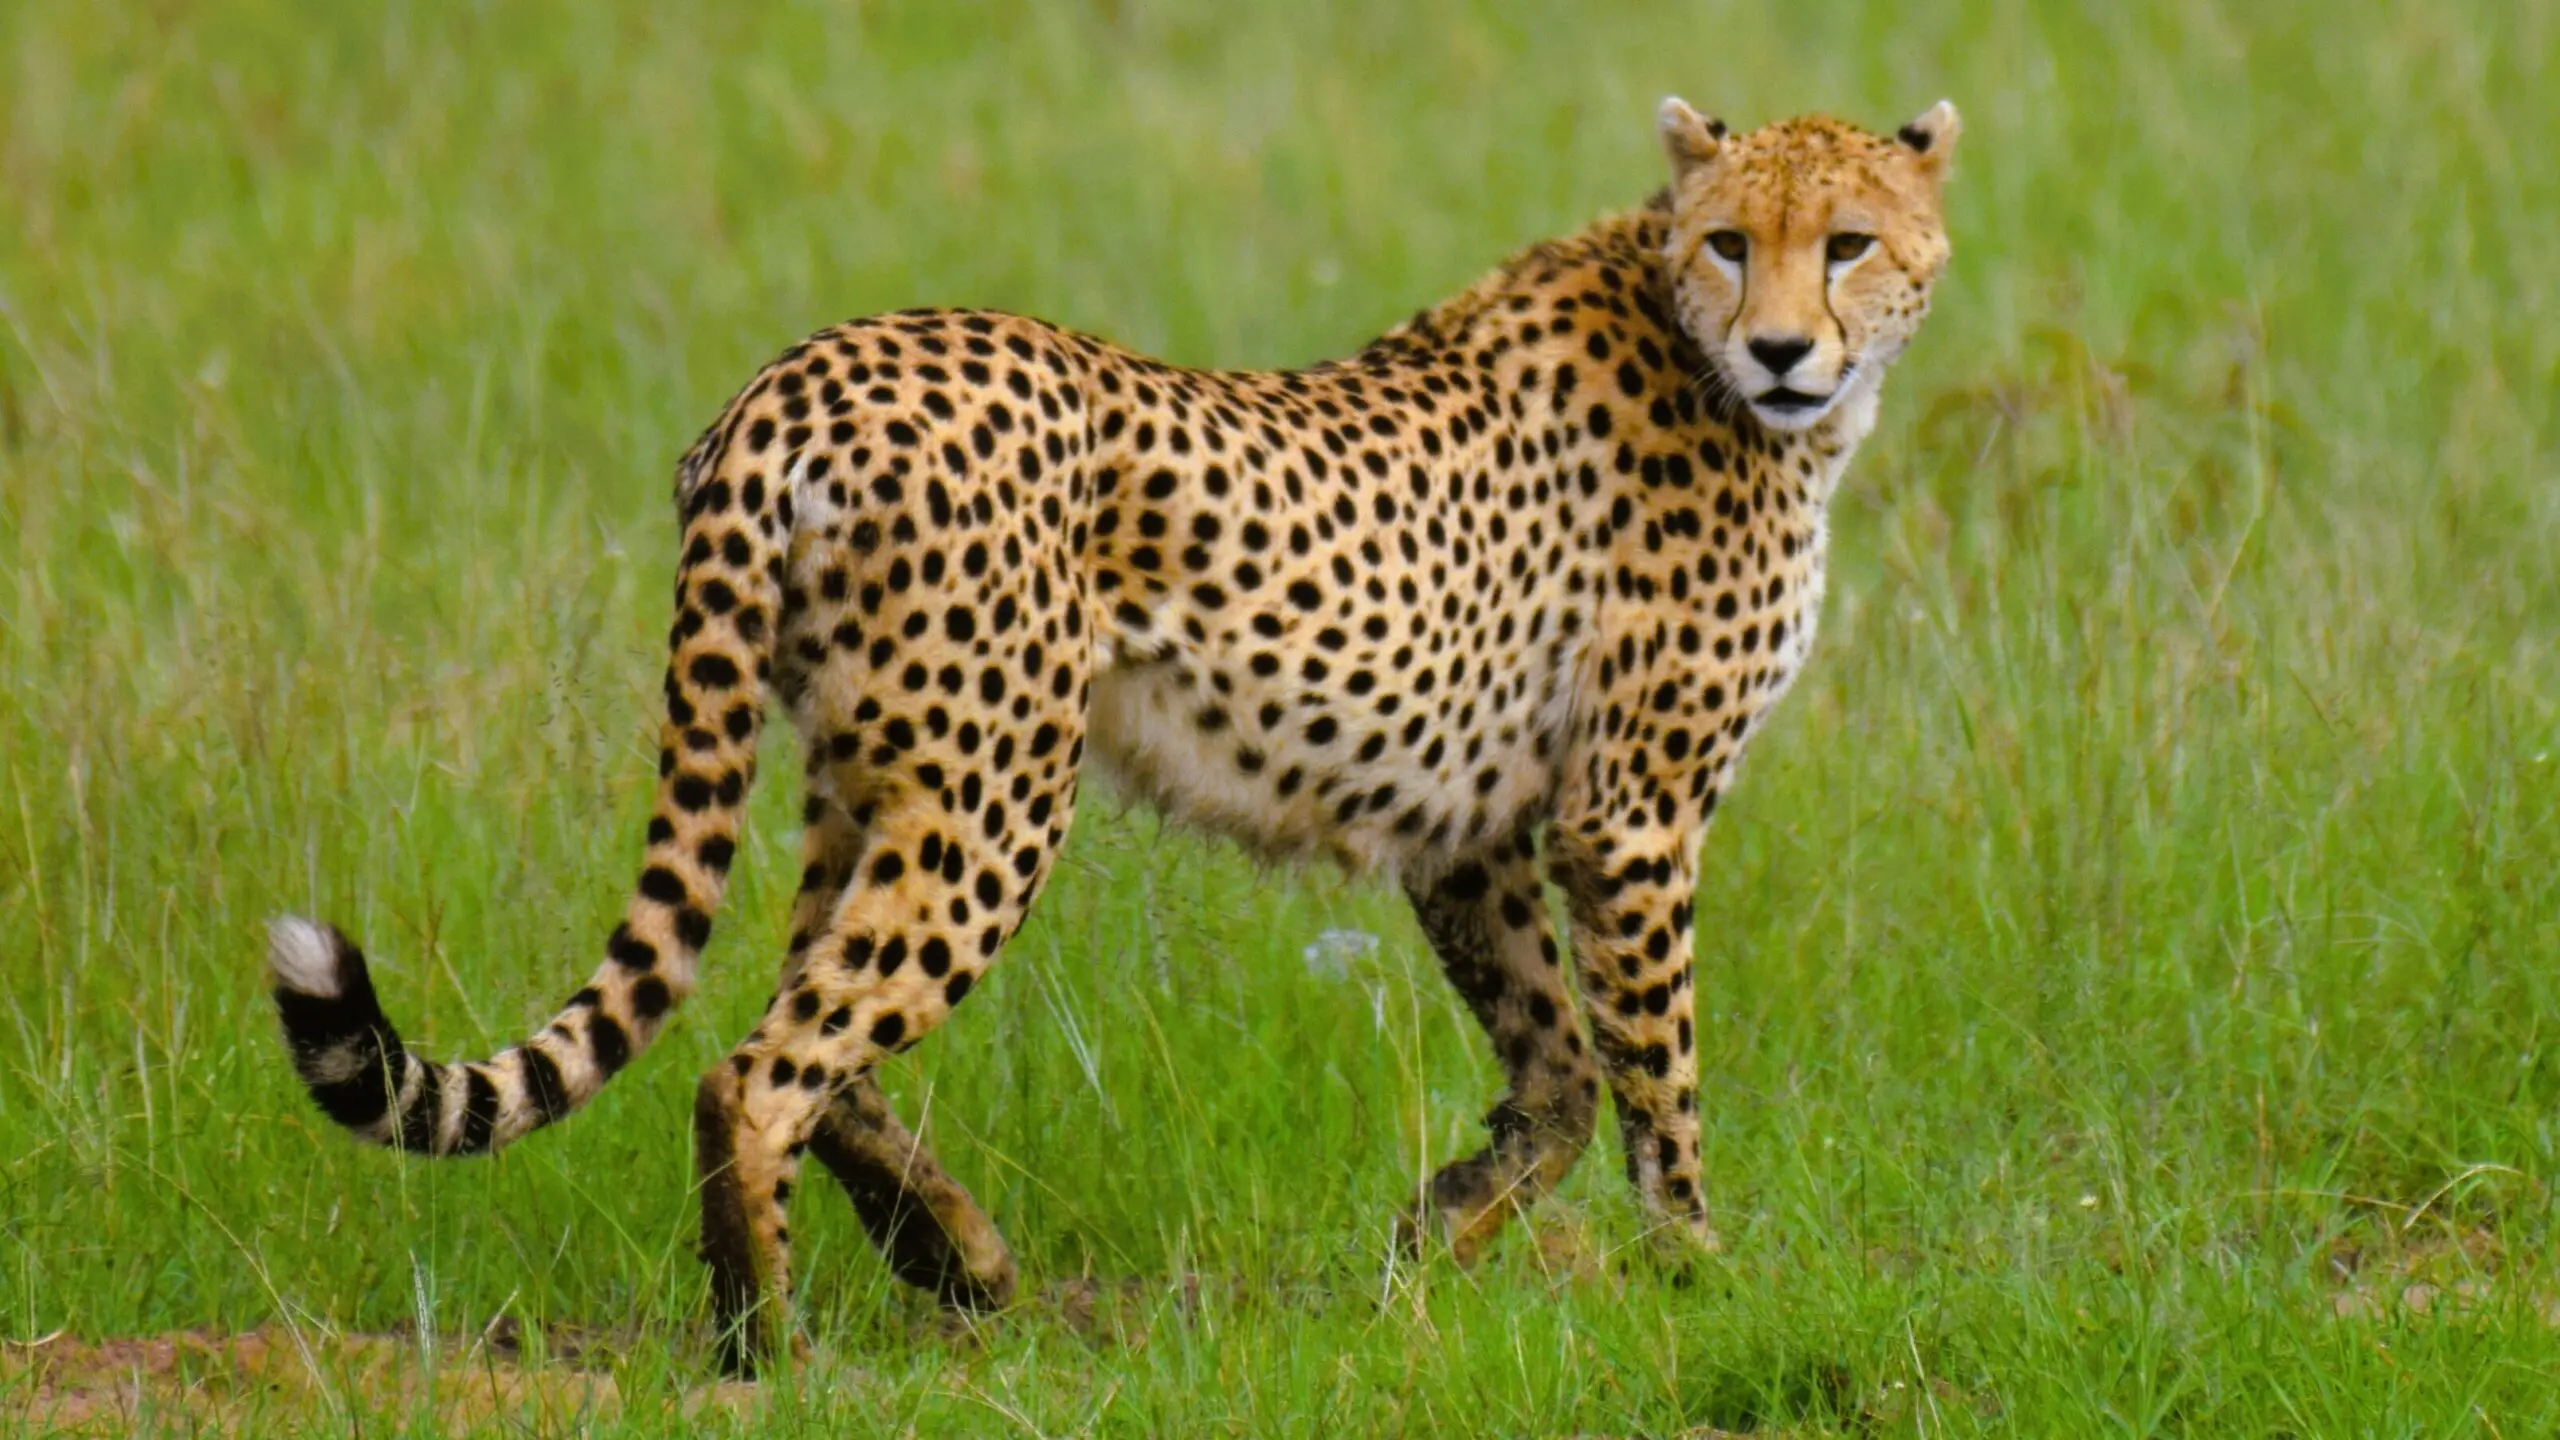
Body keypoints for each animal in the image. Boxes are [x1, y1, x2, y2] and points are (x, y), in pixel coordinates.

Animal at [267, 97, 1962, 1373]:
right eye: (1733, 241)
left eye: (1849, 242)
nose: (1784, 353)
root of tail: (798, 375)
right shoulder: (1632, 811)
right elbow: (1657, 1071)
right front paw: (1699, 1275)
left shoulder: (1468, 819)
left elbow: (1558, 1074)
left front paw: (1431, 1239)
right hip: (995, 795)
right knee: (762, 1067)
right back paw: (768, 1346)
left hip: (876, 770)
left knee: (808, 1027)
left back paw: (950, 1255)